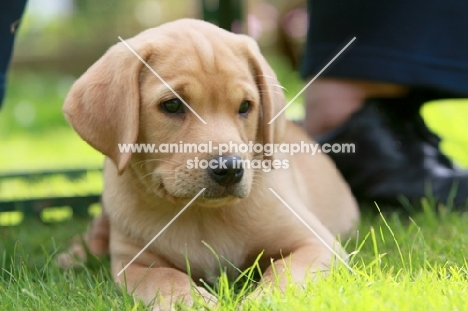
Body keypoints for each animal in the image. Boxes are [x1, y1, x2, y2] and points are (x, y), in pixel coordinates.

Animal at [61, 18, 358, 310]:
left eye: (245, 106)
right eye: (172, 105)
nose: (230, 170)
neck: (201, 214)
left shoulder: (316, 243)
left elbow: (285, 272)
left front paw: (265, 300)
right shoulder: (133, 263)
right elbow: (166, 277)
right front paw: (191, 301)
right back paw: (74, 256)